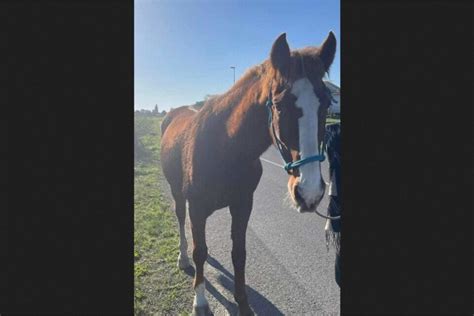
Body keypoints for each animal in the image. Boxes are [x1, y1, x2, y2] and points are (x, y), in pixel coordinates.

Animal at [161, 32, 336, 316]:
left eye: (327, 103)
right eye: (279, 105)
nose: (309, 192)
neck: (226, 147)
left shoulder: (243, 205)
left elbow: (239, 253)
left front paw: (243, 303)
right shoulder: (197, 207)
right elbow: (200, 251)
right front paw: (200, 301)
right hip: (177, 192)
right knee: (181, 220)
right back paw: (183, 257)